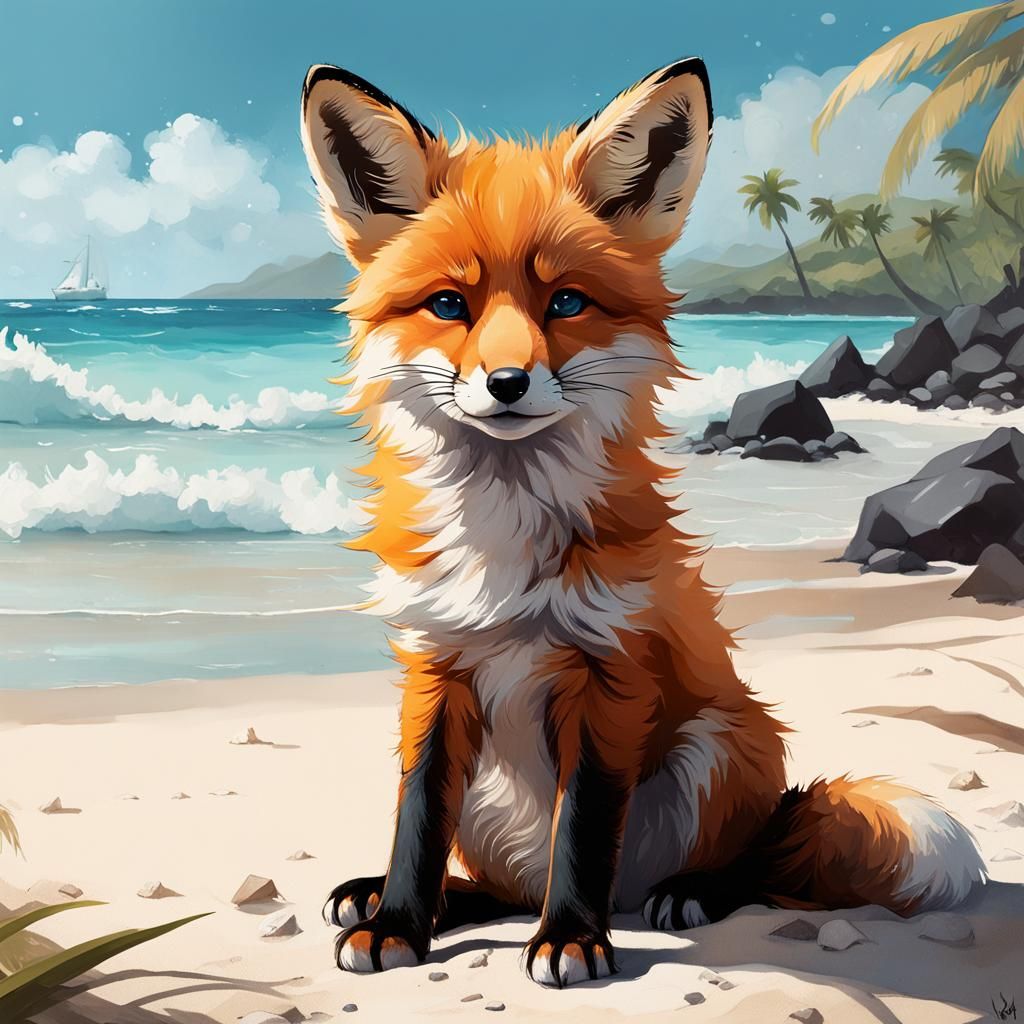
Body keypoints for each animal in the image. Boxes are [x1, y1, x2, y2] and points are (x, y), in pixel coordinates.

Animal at [299, 58, 986, 987]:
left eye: (566, 302)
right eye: (448, 304)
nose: (507, 383)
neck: (506, 543)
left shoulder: (609, 674)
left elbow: (584, 831)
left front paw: (569, 938)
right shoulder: (435, 671)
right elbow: (416, 822)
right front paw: (399, 919)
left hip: (720, 745)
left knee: (739, 867)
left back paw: (685, 892)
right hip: (493, 800)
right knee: (502, 882)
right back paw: (419, 900)